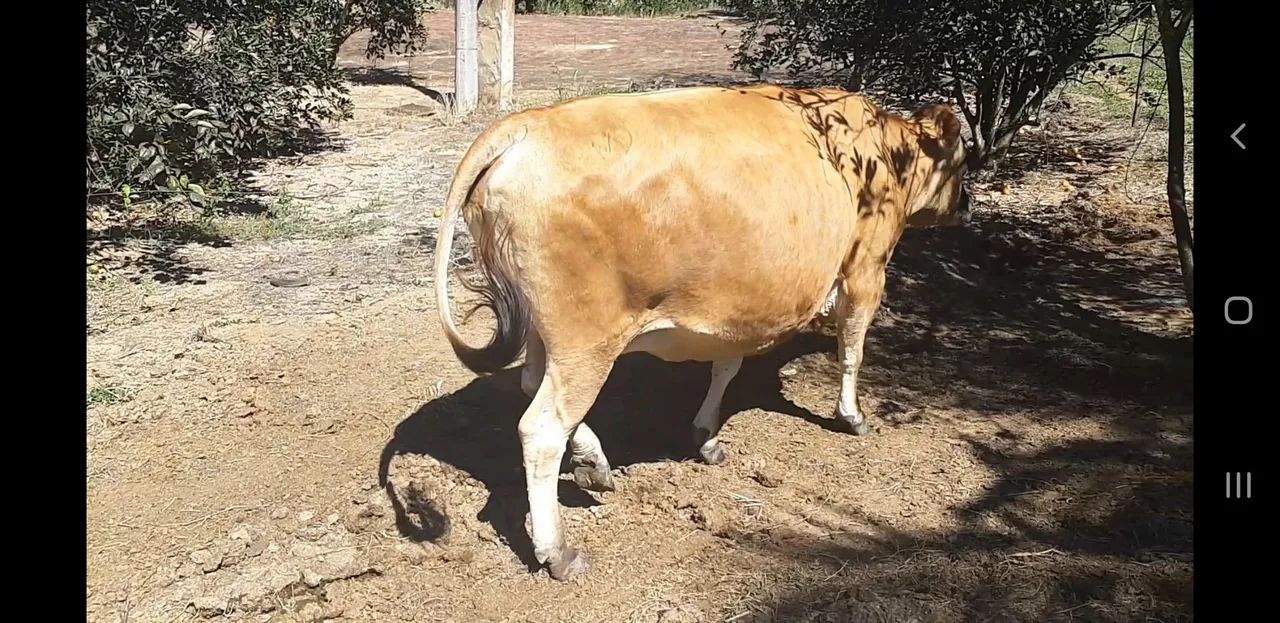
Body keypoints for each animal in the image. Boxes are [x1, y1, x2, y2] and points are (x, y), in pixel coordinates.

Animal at [432, 84, 971, 580]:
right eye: (962, 159)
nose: (965, 202)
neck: (886, 153)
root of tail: (527, 123)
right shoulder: (866, 269)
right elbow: (852, 351)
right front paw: (853, 416)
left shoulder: (738, 310)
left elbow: (725, 367)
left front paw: (706, 435)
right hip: (586, 341)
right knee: (542, 429)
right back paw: (558, 551)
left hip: (547, 332)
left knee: (531, 386)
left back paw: (594, 463)